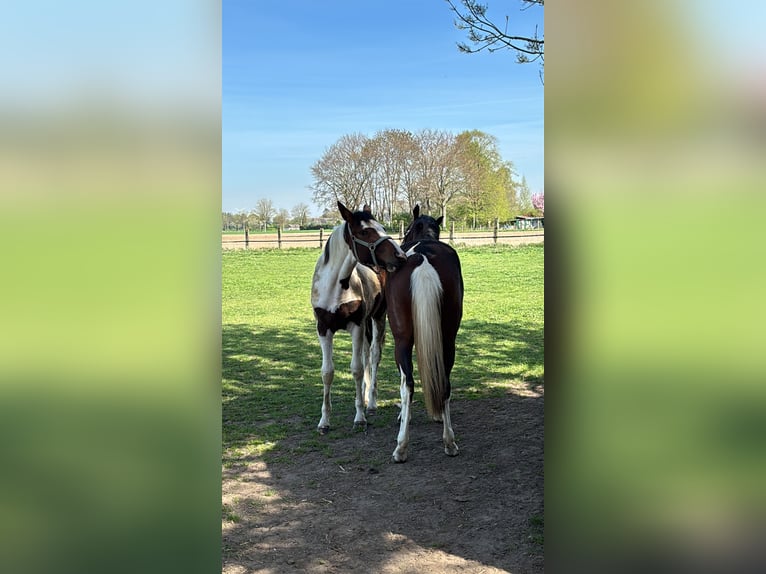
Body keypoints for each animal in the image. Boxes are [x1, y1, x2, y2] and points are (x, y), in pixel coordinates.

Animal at [311, 222, 397, 434]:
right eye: (365, 232)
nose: (398, 254)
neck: (335, 286)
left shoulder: (356, 327)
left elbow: (356, 368)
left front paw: (360, 418)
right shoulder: (323, 329)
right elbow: (327, 372)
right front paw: (324, 422)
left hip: (377, 317)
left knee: (374, 355)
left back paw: (371, 403)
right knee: (366, 354)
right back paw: (365, 398)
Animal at [337, 201, 464, 462]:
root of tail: (423, 259)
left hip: (402, 340)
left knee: (407, 385)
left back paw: (401, 447)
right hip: (448, 338)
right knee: (445, 382)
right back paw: (449, 442)